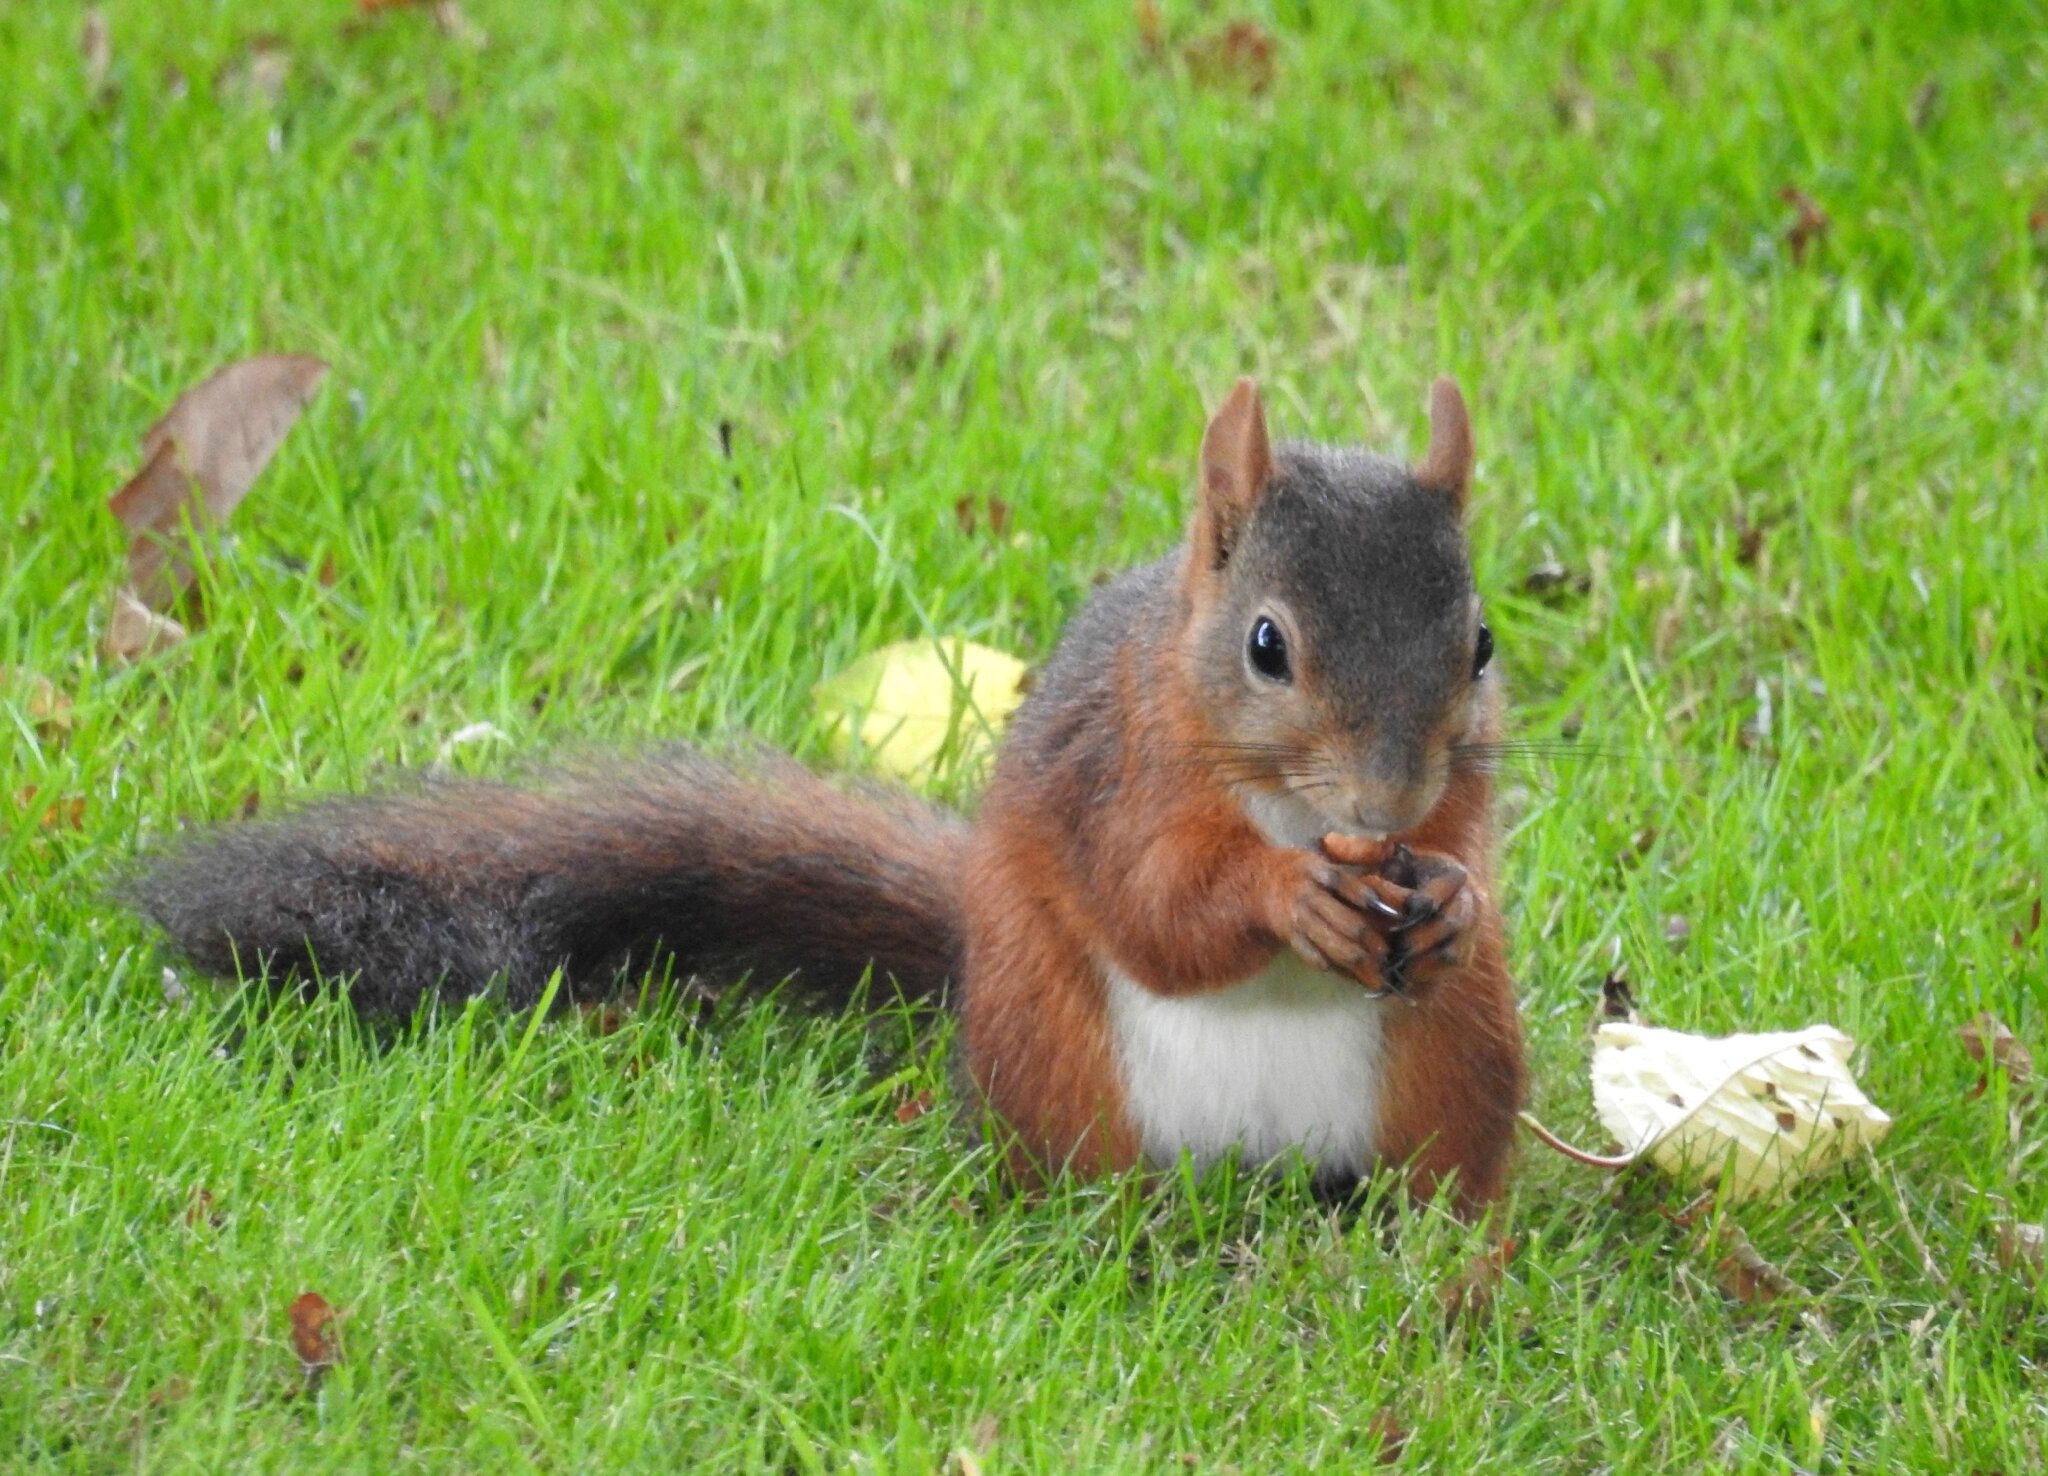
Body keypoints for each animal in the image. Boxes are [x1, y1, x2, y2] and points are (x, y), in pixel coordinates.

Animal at [132, 376, 1523, 1211]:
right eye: (1265, 647)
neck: (1296, 807)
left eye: (1482, 643)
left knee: (1437, 1185)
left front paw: (1452, 895)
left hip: (1454, 1056)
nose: (1389, 800)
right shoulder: (1110, 775)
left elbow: (1466, 857)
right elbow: (1155, 907)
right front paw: (1288, 897)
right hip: (1048, 1045)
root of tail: (1254, 1168)